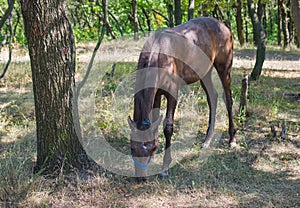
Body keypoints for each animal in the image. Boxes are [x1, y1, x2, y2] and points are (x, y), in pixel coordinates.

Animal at [127, 17, 236, 180]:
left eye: (150, 148)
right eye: (132, 148)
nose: (141, 177)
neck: (158, 55)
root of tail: (225, 27)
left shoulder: (172, 92)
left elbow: (168, 126)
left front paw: (165, 167)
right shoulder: (156, 94)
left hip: (224, 66)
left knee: (228, 98)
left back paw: (232, 139)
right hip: (204, 71)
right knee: (212, 97)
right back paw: (207, 140)